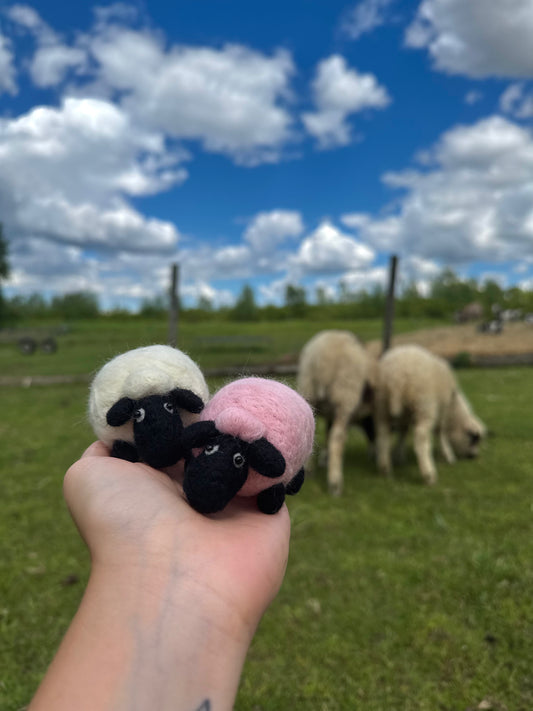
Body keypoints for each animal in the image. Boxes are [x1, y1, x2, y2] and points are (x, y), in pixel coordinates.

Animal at [296, 330, 376, 496]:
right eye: (370, 425)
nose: (372, 455)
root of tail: (321, 359)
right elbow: (332, 435)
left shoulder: (330, 414)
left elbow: (326, 432)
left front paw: (323, 459)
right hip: (344, 397)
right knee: (337, 439)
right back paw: (335, 484)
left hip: (308, 390)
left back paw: (309, 470)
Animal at [374, 344, 486, 484]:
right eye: (473, 439)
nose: (473, 456)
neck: (453, 407)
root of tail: (396, 378)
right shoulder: (442, 412)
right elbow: (441, 433)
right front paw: (448, 455)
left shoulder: (406, 415)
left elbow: (403, 433)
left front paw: (399, 456)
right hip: (424, 406)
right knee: (421, 439)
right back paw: (429, 474)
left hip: (382, 406)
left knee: (383, 435)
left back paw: (384, 468)